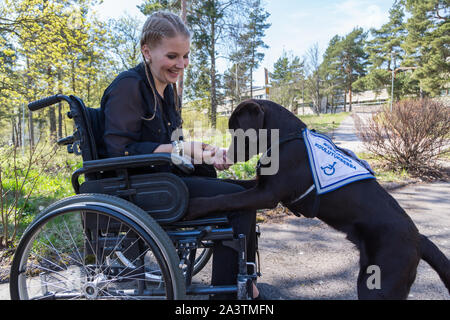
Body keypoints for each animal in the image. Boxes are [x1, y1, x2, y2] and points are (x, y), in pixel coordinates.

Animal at [185, 99, 450, 298]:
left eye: (237, 128)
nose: (227, 155)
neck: (283, 139)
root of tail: (419, 239)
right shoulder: (259, 187)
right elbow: (232, 189)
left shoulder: (267, 195)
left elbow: (225, 198)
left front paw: (193, 205)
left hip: (379, 283)